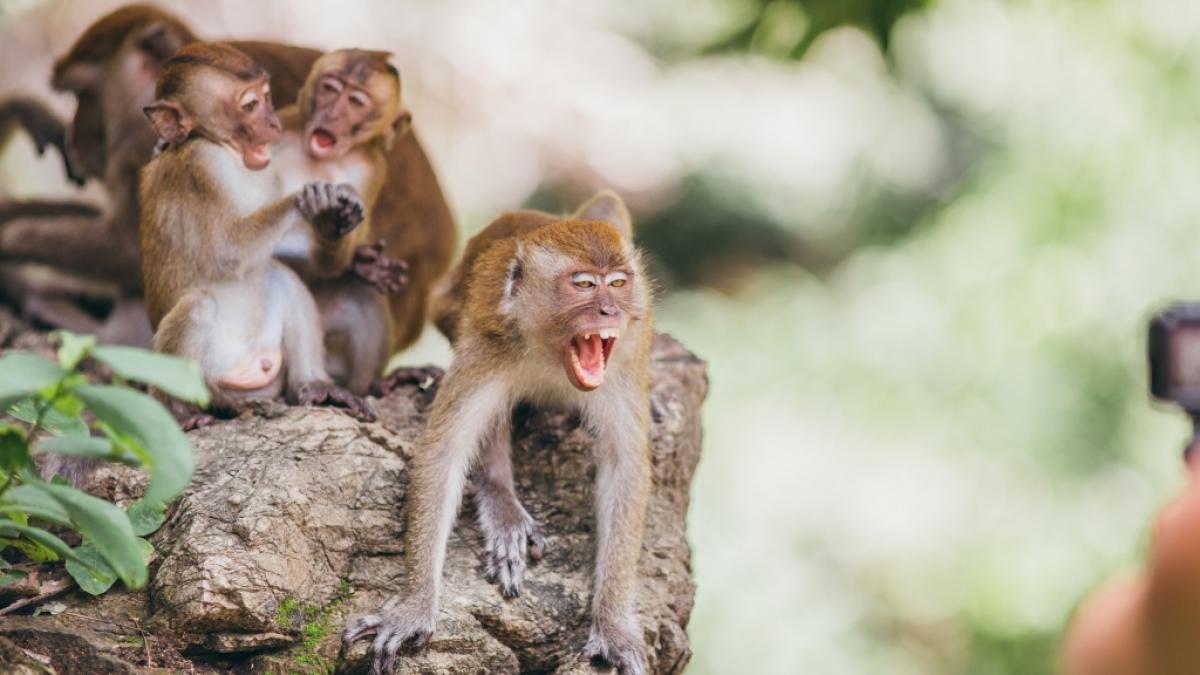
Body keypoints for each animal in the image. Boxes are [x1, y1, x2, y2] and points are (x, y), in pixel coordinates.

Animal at [138, 42, 374, 422]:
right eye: (250, 106)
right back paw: (179, 410)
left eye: (266, 97)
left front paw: (331, 219)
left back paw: (316, 385)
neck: (225, 150)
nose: (274, 123)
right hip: (211, 378)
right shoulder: (203, 166)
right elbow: (226, 251)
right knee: (197, 305)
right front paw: (314, 197)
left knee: (281, 276)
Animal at [342, 191, 654, 675]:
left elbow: (625, 467)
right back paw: (500, 500)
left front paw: (614, 626)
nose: (611, 310)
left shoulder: (625, 358)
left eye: (617, 283)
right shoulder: (489, 343)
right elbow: (444, 453)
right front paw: (415, 605)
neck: (552, 350)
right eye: (585, 285)